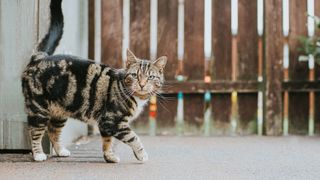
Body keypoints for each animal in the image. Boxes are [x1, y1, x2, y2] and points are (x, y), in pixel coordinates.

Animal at [21, 0, 168, 163]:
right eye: (135, 75)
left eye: (150, 77)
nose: (142, 84)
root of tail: (39, 57)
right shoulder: (112, 120)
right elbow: (133, 137)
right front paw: (142, 154)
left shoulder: (106, 125)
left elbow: (107, 141)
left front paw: (109, 156)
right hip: (39, 109)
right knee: (34, 131)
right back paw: (38, 154)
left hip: (60, 112)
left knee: (53, 131)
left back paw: (60, 151)